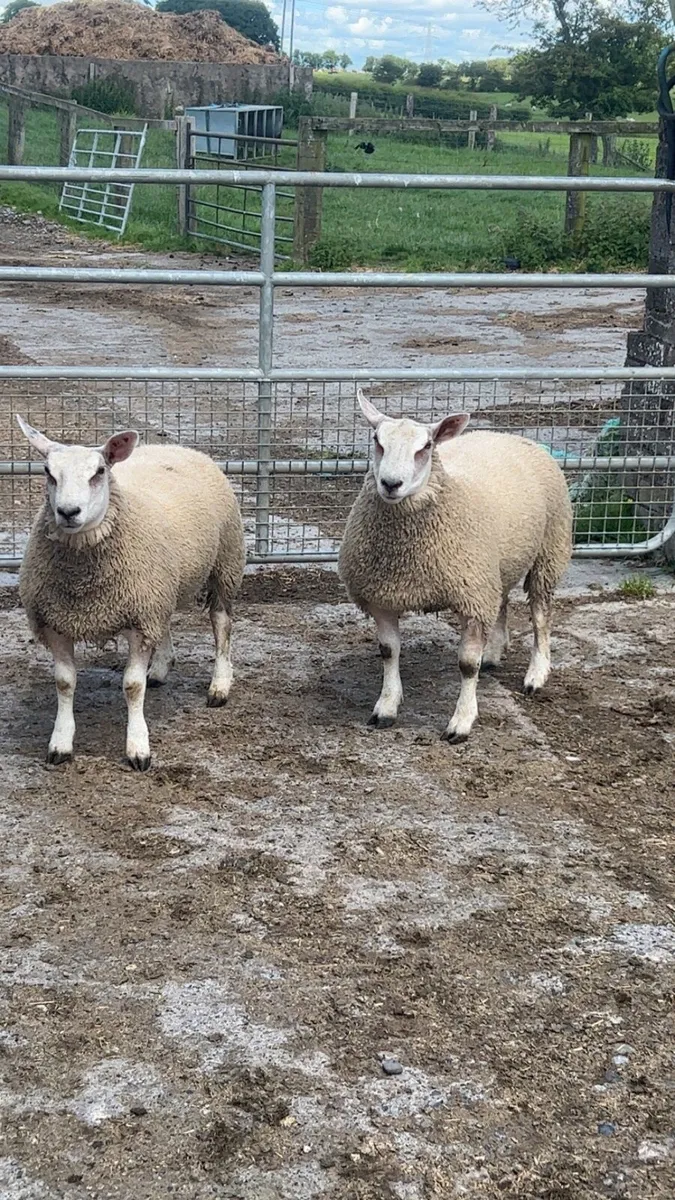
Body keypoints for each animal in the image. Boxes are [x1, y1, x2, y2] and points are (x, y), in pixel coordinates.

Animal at [17, 417, 245, 771]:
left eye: (99, 471)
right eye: (48, 472)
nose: (68, 511)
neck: (84, 585)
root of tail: (173, 446)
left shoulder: (140, 619)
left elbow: (133, 687)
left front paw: (138, 747)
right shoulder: (57, 622)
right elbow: (65, 683)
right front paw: (60, 743)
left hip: (225, 562)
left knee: (221, 624)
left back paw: (219, 685)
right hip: (160, 589)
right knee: (166, 625)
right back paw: (162, 668)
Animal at [338, 391, 573, 742]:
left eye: (426, 446)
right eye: (377, 440)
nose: (391, 483)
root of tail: (504, 435)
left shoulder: (472, 598)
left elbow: (466, 665)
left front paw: (461, 721)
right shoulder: (383, 595)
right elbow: (389, 651)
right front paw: (386, 707)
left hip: (549, 550)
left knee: (541, 617)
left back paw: (536, 674)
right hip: (496, 565)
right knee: (502, 602)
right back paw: (494, 654)